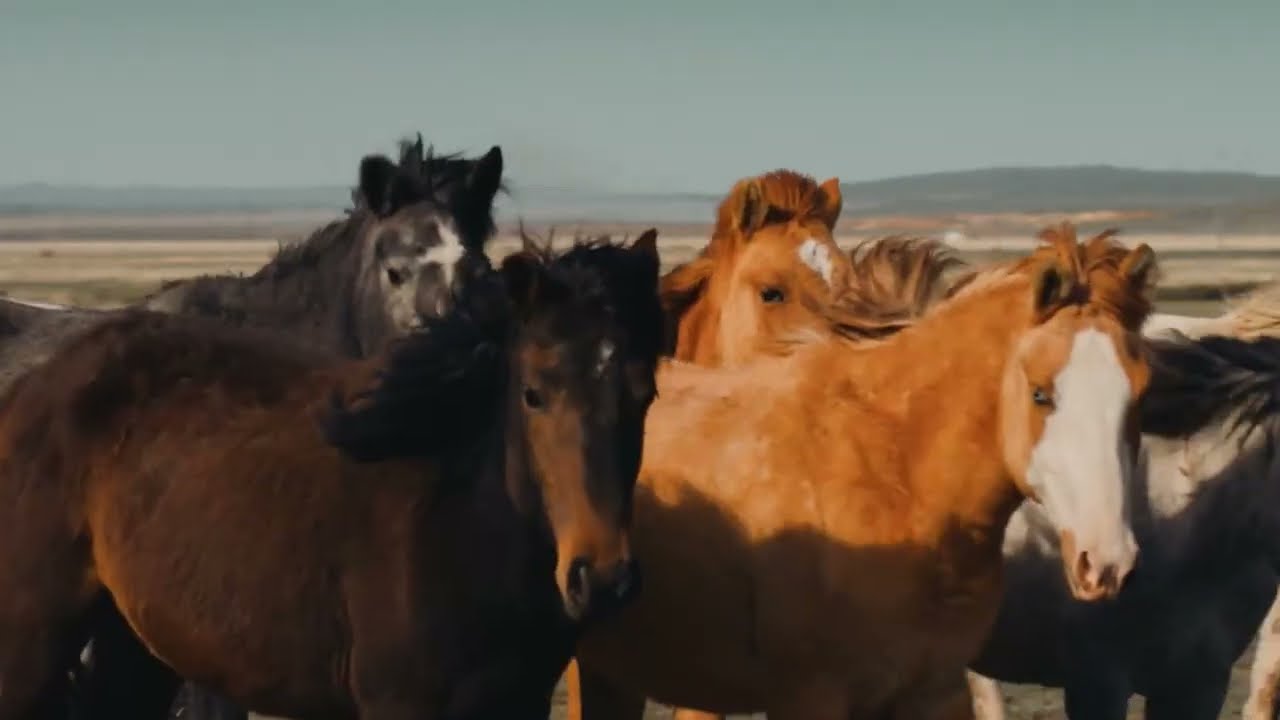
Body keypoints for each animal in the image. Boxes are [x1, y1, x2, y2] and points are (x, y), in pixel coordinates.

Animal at [0, 230, 667, 720]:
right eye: (533, 394)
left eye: (645, 394)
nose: (601, 579)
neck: (457, 520)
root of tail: (36, 381)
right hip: (31, 645)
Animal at [568, 222, 1155, 719]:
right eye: (1039, 393)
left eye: (1141, 395)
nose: (1107, 562)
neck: (895, 476)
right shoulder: (811, 698)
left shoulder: (935, 692)